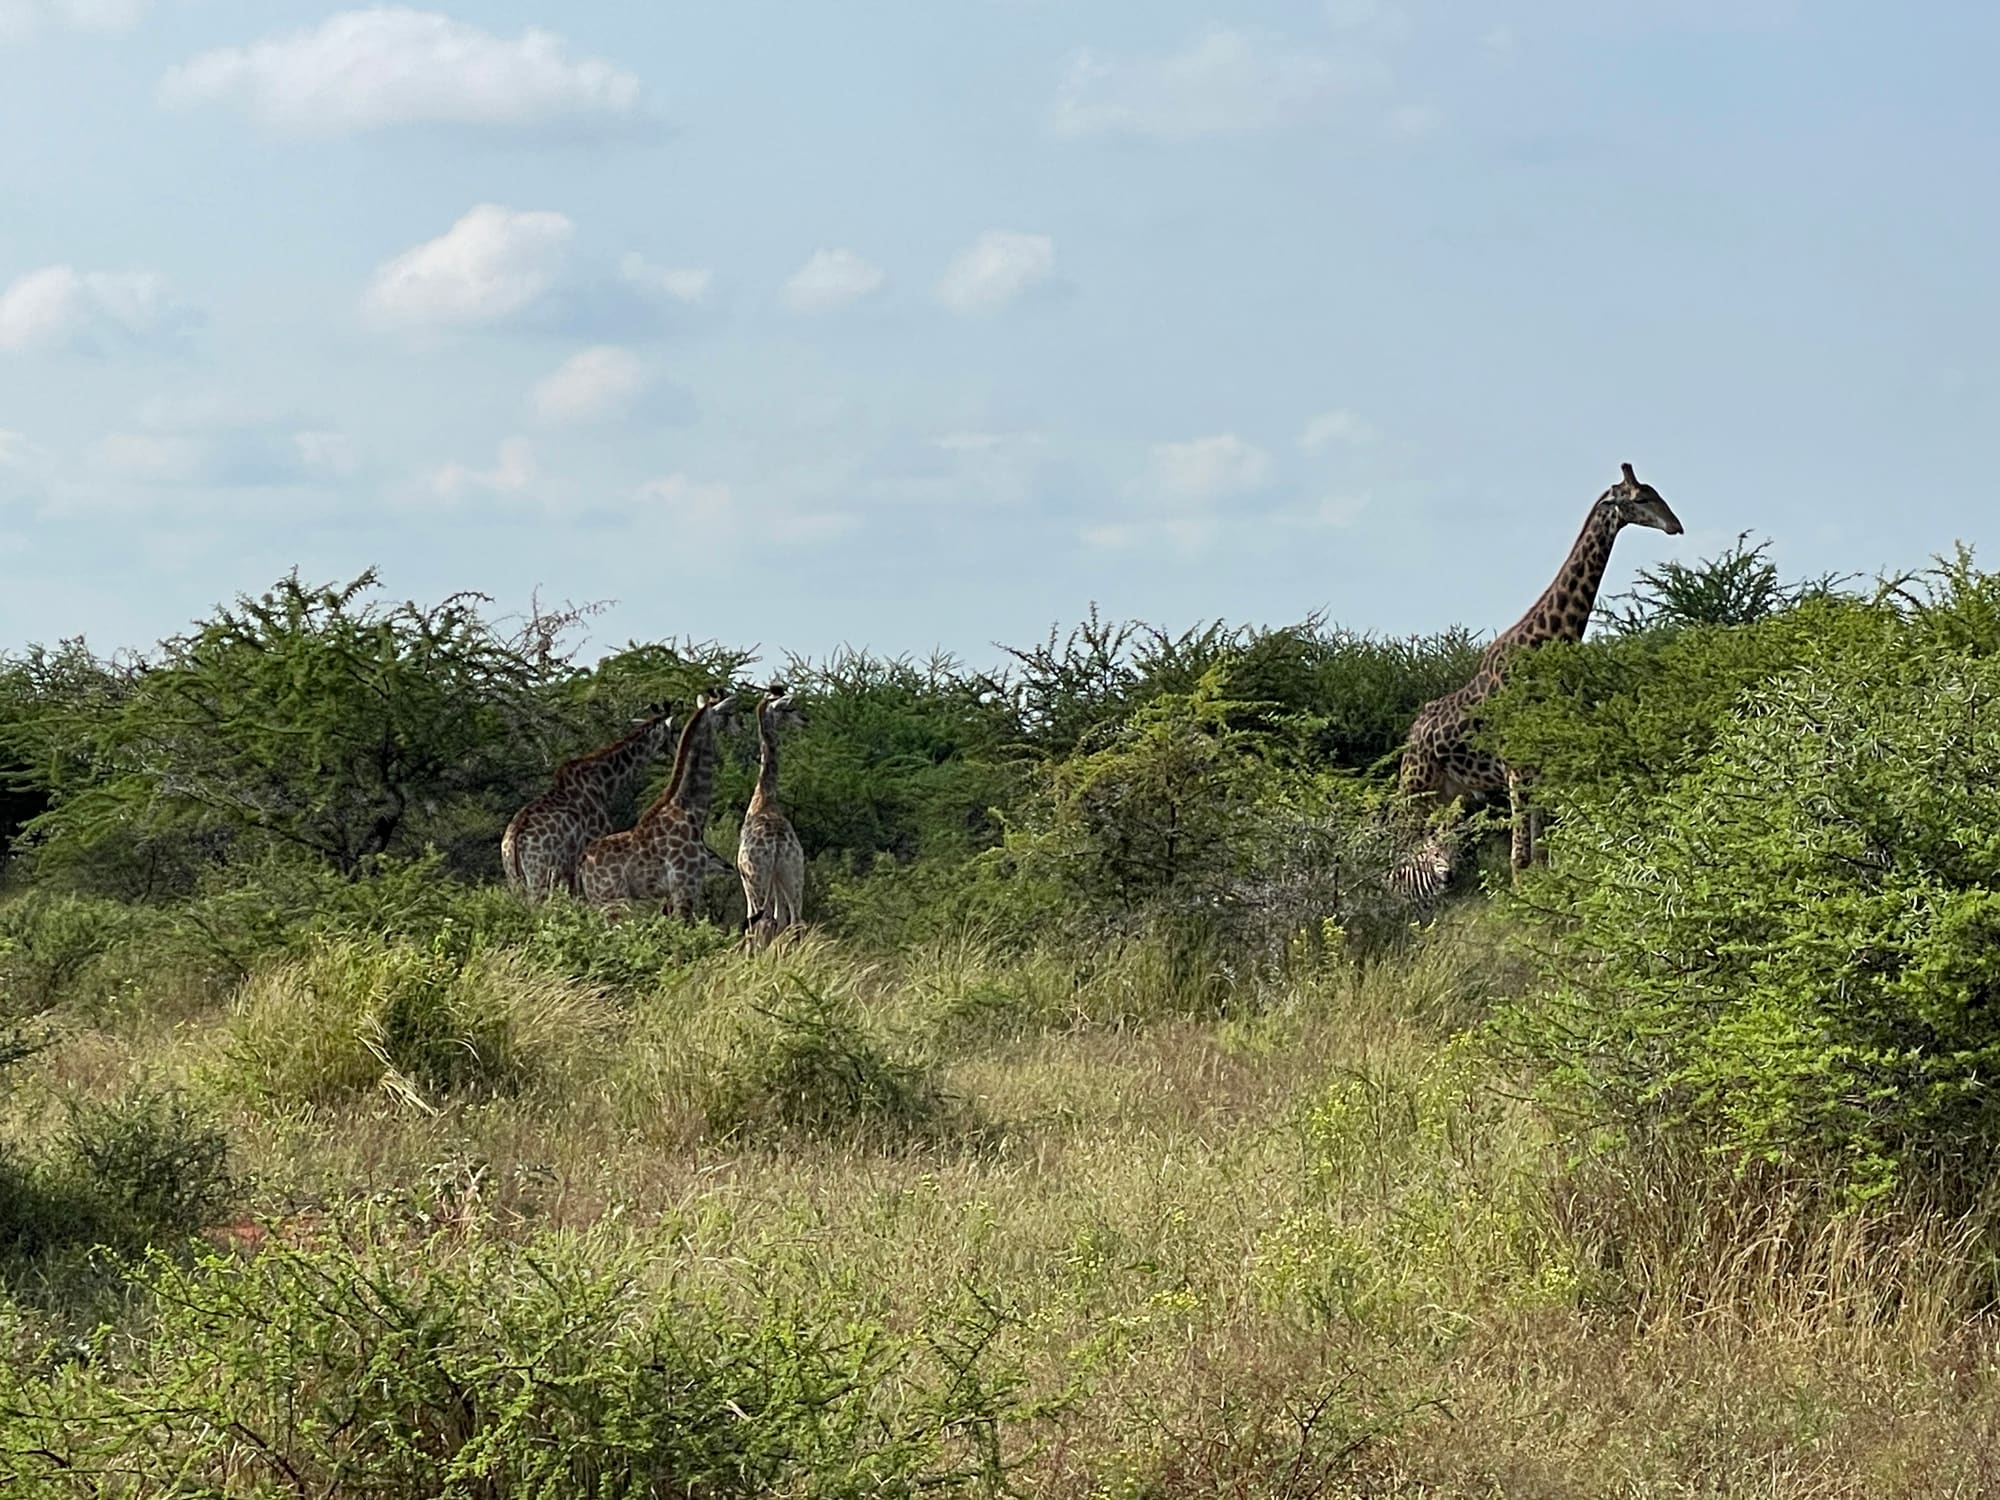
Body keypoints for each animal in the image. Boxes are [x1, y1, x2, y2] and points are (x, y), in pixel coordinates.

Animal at [501, 703, 676, 902]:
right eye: (673, 732)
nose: (675, 751)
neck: (602, 782)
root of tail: (513, 839)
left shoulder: (569, 863)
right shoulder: (594, 840)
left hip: (513, 876)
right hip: (538, 872)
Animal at [577, 689, 741, 919]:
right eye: (728, 713)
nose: (739, 729)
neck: (691, 810)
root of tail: (583, 863)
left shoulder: (673, 892)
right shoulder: (686, 885)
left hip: (601, 901)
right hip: (613, 901)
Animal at [736, 684, 808, 950]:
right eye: (790, 709)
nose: (805, 720)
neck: (765, 799)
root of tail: (777, 843)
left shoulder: (745, 877)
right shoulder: (779, 877)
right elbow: (781, 919)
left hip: (756, 877)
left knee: (759, 921)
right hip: (793, 871)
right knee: (795, 920)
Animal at [1393, 463, 1683, 893]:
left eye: (1656, 491)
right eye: (1641, 498)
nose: (1675, 526)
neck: (1542, 645)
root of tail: (1412, 736)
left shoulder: (1542, 763)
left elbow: (1541, 852)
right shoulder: (1516, 766)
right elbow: (1519, 857)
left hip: (1448, 791)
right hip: (1415, 785)